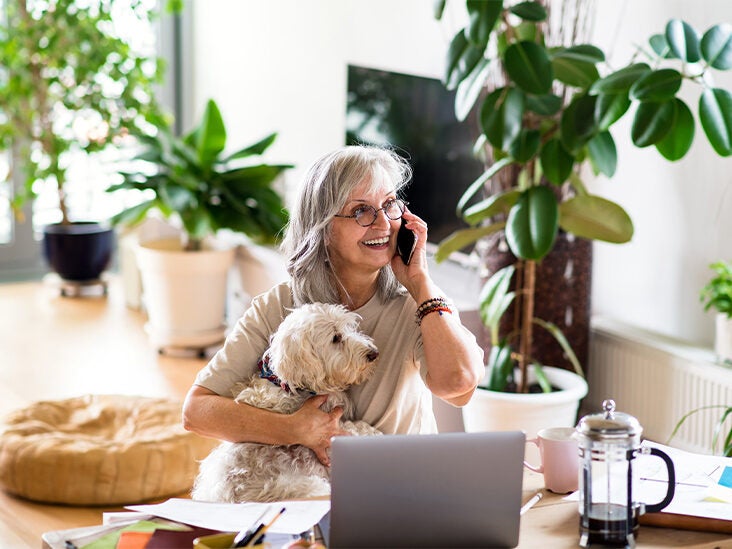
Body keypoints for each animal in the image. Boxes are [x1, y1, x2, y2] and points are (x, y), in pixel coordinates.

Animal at [192, 302, 380, 504]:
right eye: (336, 338)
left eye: (349, 328)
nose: (373, 353)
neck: (288, 384)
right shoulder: (330, 431)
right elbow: (354, 429)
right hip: (309, 486)